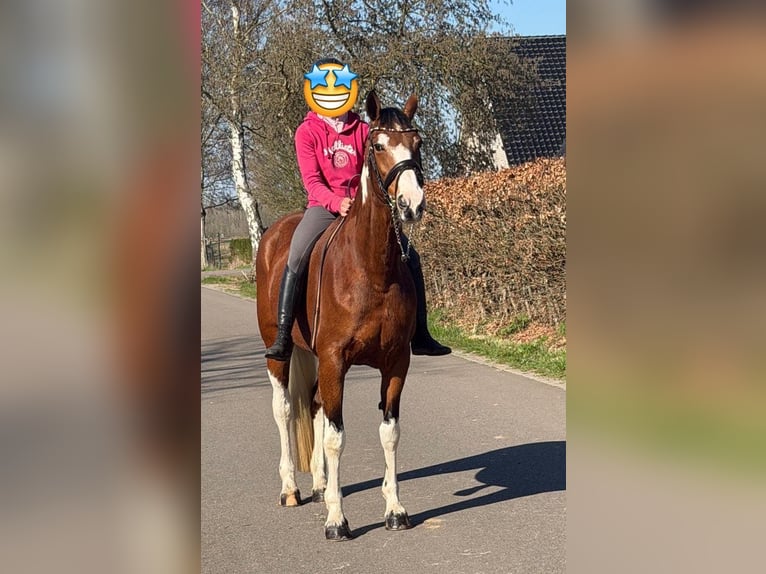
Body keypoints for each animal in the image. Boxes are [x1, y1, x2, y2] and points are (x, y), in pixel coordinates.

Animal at [255, 90, 425, 540]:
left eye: (417, 143)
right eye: (378, 146)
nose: (412, 205)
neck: (371, 267)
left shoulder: (396, 363)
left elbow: (389, 433)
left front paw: (395, 509)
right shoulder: (335, 361)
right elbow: (336, 437)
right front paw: (337, 519)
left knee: (313, 403)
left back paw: (317, 484)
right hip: (278, 353)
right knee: (283, 409)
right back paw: (291, 489)